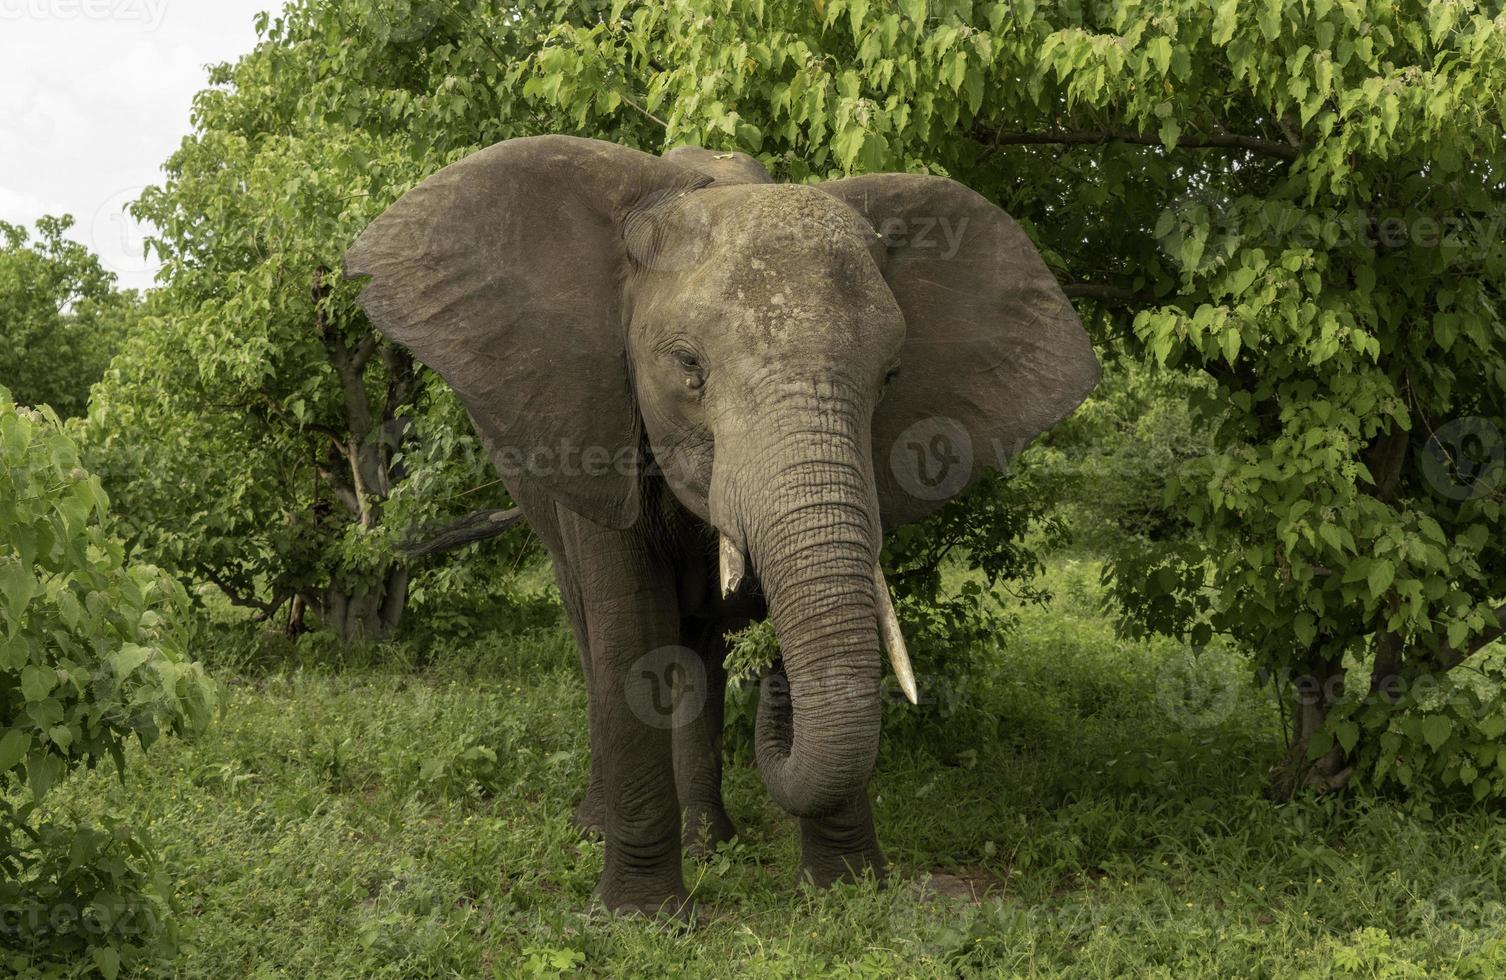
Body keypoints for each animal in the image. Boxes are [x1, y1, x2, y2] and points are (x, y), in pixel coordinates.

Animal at [346, 133, 1102, 915]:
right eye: (688, 366)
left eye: (891, 376)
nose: (776, 694)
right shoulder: (593, 422)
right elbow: (630, 636)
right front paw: (642, 918)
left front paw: (846, 894)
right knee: (595, 631)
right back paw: (598, 826)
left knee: (702, 655)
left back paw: (711, 838)